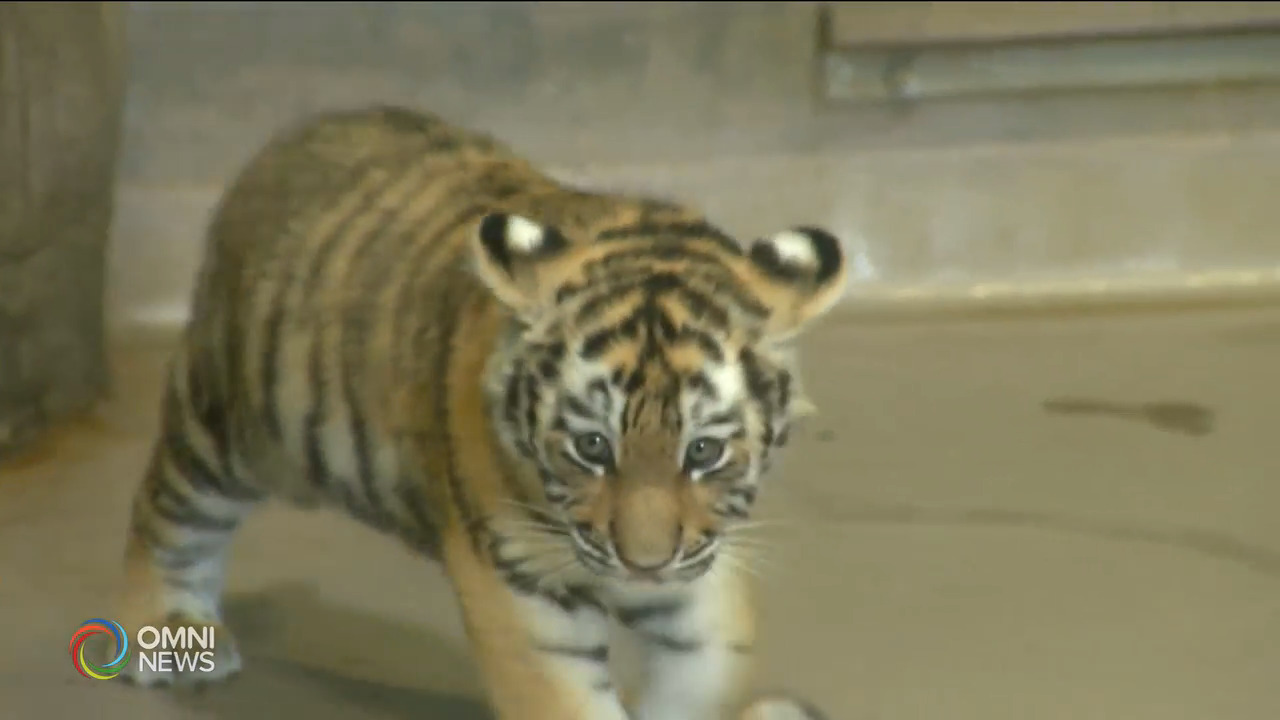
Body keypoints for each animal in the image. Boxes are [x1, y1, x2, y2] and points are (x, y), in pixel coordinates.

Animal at [112, 105, 847, 720]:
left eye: (703, 452)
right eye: (591, 448)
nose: (643, 566)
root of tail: (290, 138)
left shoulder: (699, 569)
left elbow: (708, 667)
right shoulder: (521, 583)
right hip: (232, 427)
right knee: (168, 509)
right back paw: (173, 632)